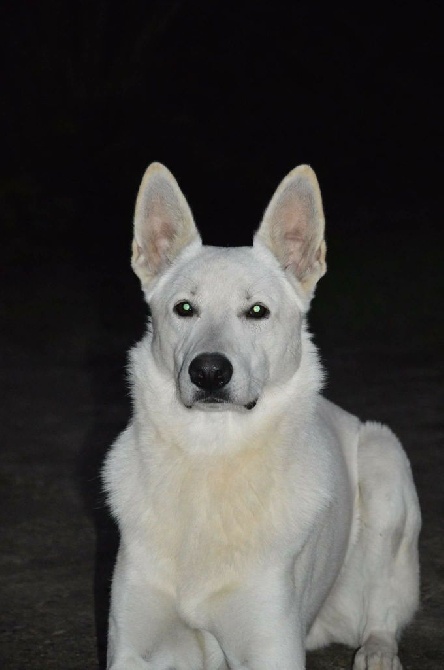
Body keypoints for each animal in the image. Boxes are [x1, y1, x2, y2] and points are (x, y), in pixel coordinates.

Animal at [102, 164, 422, 670]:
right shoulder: (132, 649)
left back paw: (377, 651)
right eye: (184, 308)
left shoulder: (272, 649)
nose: (209, 372)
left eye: (257, 311)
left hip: (384, 462)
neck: (210, 457)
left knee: (383, 611)